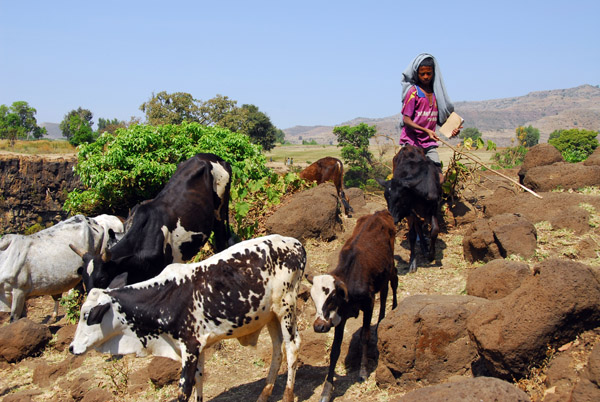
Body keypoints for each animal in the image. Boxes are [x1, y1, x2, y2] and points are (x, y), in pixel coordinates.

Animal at [68, 234, 308, 402]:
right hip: (270, 315)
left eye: (89, 315)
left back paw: (288, 395)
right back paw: (264, 394)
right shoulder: (197, 348)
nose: (72, 348)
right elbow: (199, 380)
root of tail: (295, 243)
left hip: (286, 307)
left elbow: (184, 390)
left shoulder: (190, 347)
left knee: (293, 346)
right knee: (278, 349)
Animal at [310, 210, 398, 402]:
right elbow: (335, 350)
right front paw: (327, 390)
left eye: (332, 296)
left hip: (390, 265)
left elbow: (364, 337)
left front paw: (363, 372)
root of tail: (380, 212)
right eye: (313, 298)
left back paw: (394, 308)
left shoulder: (368, 305)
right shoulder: (340, 318)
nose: (319, 327)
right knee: (385, 290)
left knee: (394, 282)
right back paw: (381, 320)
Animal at [378, 146, 442, 274]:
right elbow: (412, 235)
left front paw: (431, 255)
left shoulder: (434, 206)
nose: (392, 218)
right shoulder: (409, 212)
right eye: (386, 197)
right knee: (418, 228)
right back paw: (423, 247)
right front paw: (413, 262)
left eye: (400, 196)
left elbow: (434, 230)